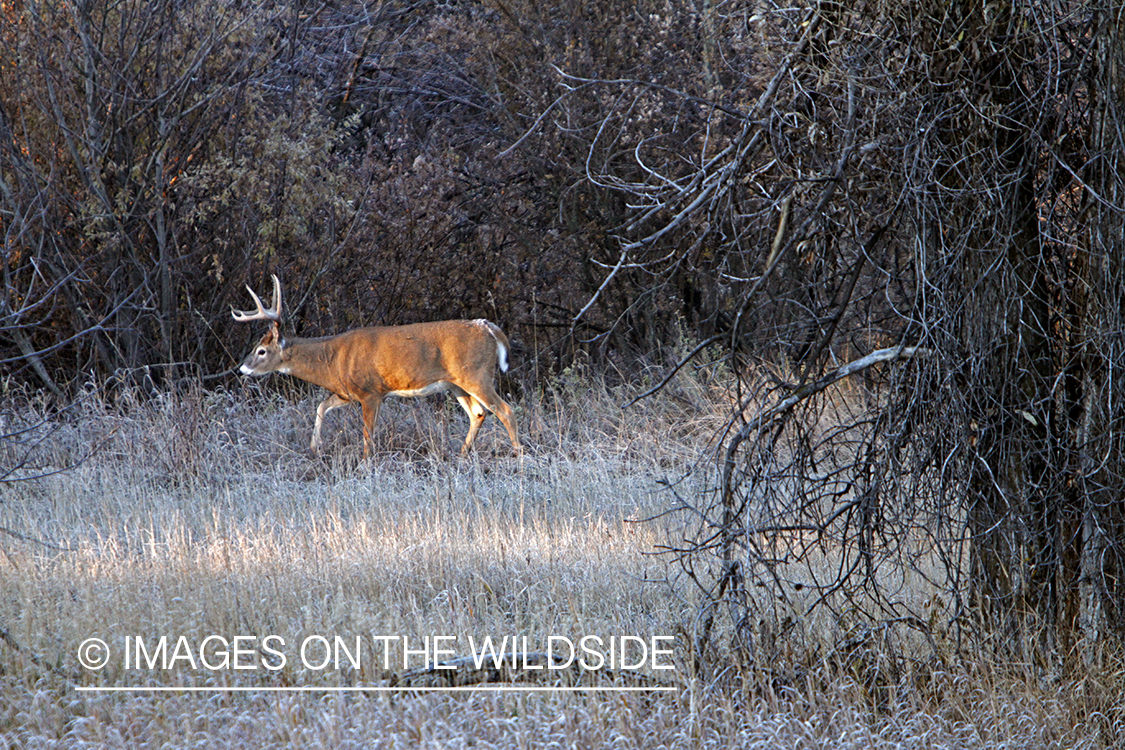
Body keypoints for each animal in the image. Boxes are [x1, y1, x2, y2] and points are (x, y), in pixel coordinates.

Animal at [235, 275, 524, 458]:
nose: (242, 369)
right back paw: (462, 456)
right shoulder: (347, 392)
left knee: (505, 410)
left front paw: (365, 464)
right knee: (478, 414)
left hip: (476, 374)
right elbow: (321, 406)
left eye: (261, 351)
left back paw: (519, 457)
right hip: (456, 384)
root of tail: (489, 328)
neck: (332, 360)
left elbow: (367, 434)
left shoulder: (371, 392)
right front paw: (315, 447)